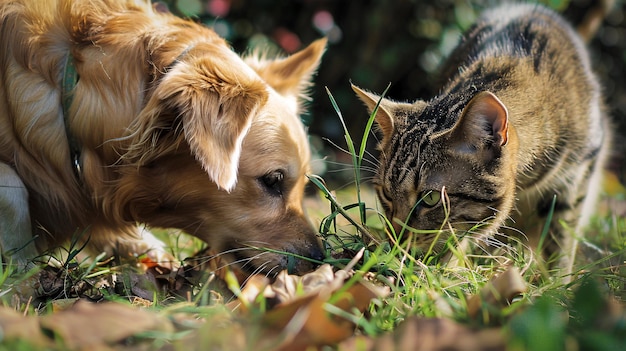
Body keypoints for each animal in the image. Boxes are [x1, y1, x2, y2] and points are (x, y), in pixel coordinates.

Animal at [352, 3, 608, 278]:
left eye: (429, 198)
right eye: (386, 194)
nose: (396, 240)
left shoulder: (577, 171)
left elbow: (561, 237)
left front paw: (557, 281)